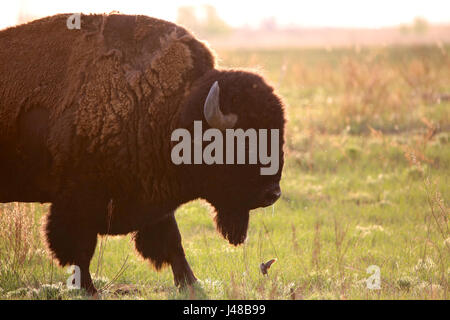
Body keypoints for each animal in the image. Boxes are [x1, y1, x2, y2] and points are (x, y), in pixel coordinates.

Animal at [0, 14, 284, 296]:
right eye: (244, 142)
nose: (272, 194)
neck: (173, 111)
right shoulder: (77, 200)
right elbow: (81, 249)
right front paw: (89, 289)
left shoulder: (152, 198)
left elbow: (173, 242)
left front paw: (190, 283)